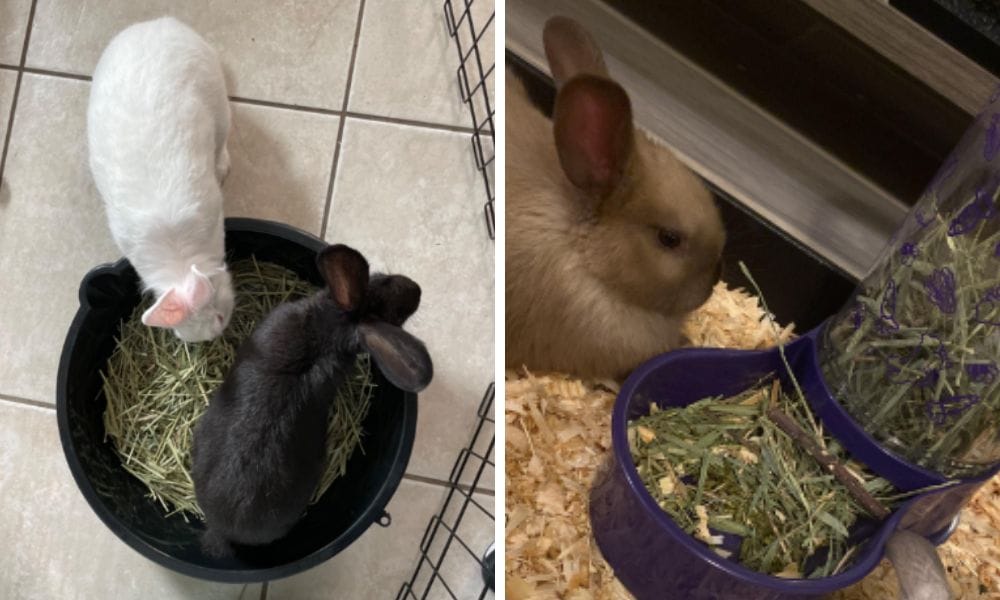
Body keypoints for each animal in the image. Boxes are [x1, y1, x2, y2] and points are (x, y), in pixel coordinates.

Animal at [87, 16, 235, 342]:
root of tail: (160, 24)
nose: (216, 335)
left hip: (219, 107)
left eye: (219, 316)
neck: (180, 257)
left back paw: (223, 168)